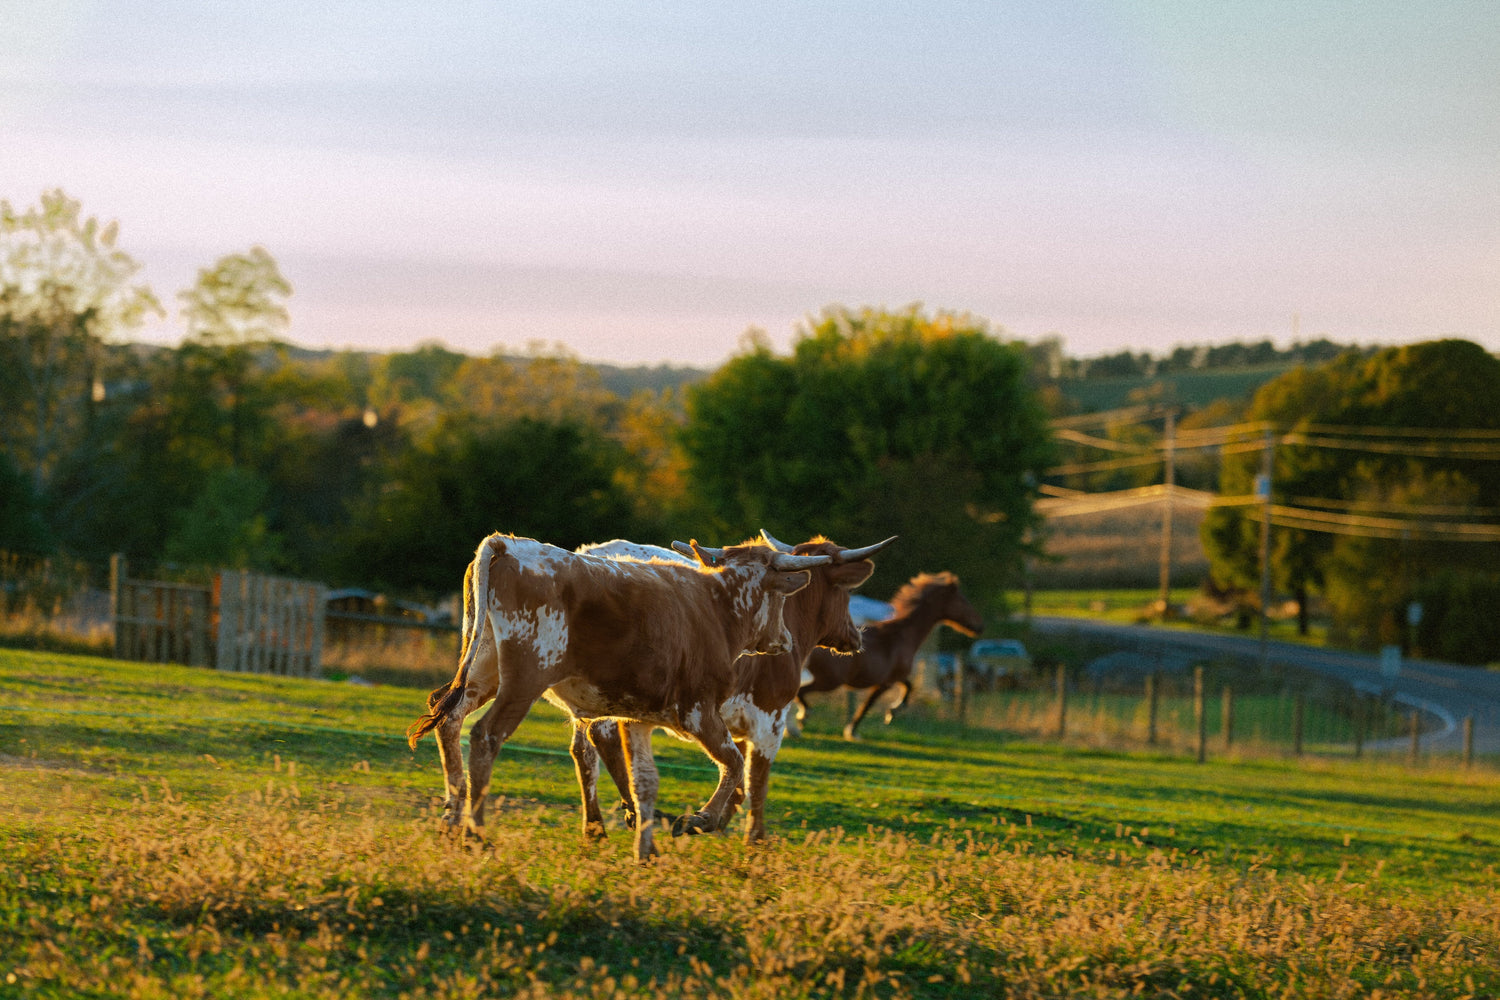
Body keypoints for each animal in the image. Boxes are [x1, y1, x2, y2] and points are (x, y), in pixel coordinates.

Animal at [405, 530, 834, 863]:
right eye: (780, 598)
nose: (785, 640)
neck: (715, 607)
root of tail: (508, 545)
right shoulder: (699, 711)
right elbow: (732, 762)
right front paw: (700, 820)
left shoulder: (639, 718)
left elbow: (646, 780)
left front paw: (647, 849)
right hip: (525, 678)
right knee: (486, 736)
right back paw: (475, 834)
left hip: (483, 668)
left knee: (450, 718)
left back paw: (452, 821)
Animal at [567, 530, 882, 845]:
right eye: (847, 593)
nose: (856, 635)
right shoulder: (771, 717)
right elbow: (756, 780)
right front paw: (753, 837)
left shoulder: (735, 723)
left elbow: (738, 777)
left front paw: (715, 822)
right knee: (602, 736)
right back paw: (634, 813)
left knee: (583, 751)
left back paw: (596, 827)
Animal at [798, 569, 984, 743]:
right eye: (963, 601)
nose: (979, 626)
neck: (902, 636)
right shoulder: (885, 683)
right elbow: (868, 705)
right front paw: (859, 728)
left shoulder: (892, 678)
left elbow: (907, 686)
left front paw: (892, 711)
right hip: (829, 681)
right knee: (801, 691)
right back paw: (803, 717)